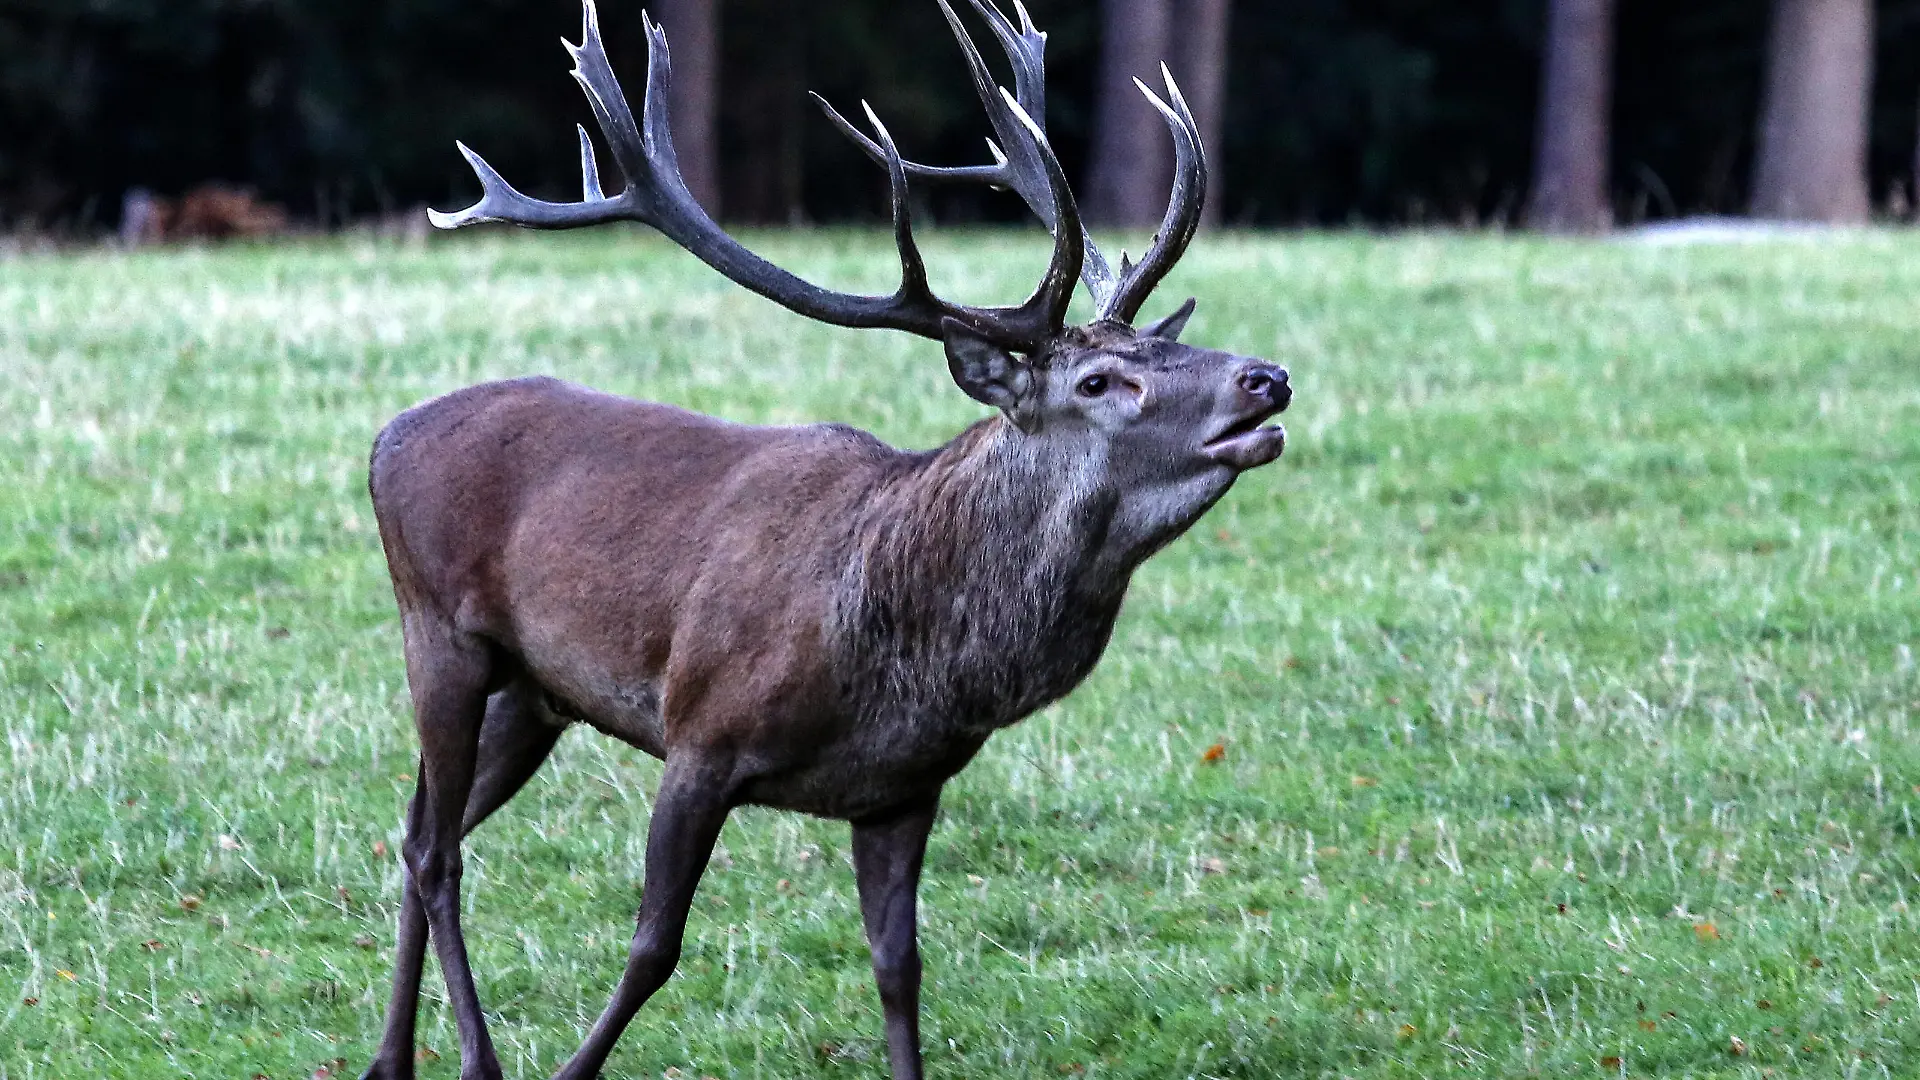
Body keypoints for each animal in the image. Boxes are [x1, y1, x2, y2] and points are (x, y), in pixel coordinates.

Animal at [359, 2, 1290, 1078]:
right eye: (1099, 381)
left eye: (1163, 347)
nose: (1266, 378)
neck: (900, 646)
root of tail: (385, 438)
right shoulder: (700, 735)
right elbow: (653, 948)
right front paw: (572, 1068)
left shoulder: (903, 788)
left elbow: (900, 968)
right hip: (437, 630)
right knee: (438, 850)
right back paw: (473, 1057)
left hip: (534, 690)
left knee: (417, 828)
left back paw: (391, 1058)